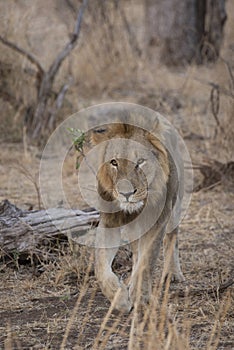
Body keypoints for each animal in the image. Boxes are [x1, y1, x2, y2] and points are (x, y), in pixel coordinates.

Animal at [82, 113, 185, 314]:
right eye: (114, 162)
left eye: (140, 162)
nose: (126, 193)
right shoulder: (109, 222)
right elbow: (100, 266)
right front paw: (120, 298)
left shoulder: (158, 221)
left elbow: (147, 261)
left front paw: (140, 295)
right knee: (137, 251)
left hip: (176, 205)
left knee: (172, 236)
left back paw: (172, 273)